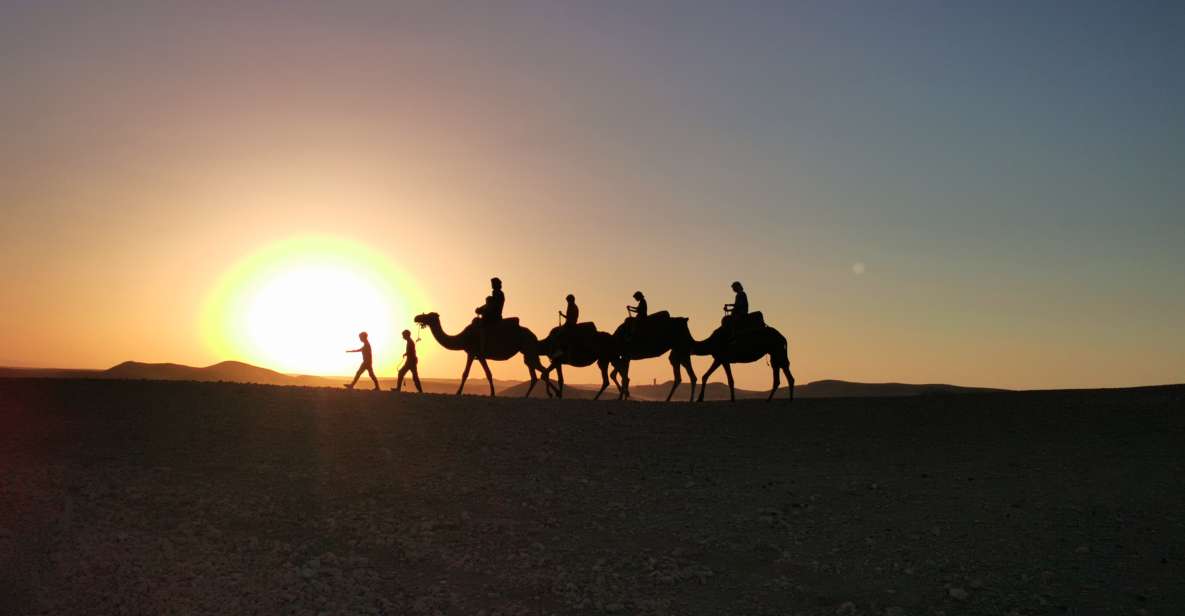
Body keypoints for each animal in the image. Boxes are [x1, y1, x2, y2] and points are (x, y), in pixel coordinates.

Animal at [412, 315, 549, 398]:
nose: (416, 317)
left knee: (541, 371)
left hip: (529, 349)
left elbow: (465, 373)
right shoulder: (480, 356)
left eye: (428, 315)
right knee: (537, 374)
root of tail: (535, 337)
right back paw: (537, 395)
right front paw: (492, 393)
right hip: (528, 352)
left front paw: (458, 392)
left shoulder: (472, 352)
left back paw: (549, 394)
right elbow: (488, 373)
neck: (463, 337)